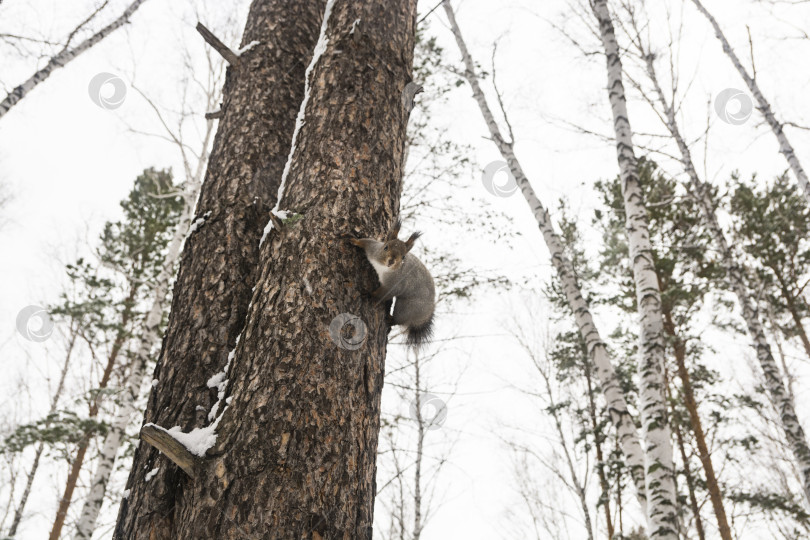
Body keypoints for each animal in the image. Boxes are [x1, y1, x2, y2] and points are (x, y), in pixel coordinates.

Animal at [348, 220, 436, 350]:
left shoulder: (394, 285)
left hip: (407, 307)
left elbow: (382, 294)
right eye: (386, 247)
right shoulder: (374, 249)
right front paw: (354, 240)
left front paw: (369, 295)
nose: (391, 261)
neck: (384, 268)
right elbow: (366, 242)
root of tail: (426, 315)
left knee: (400, 319)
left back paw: (390, 319)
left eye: (403, 256)